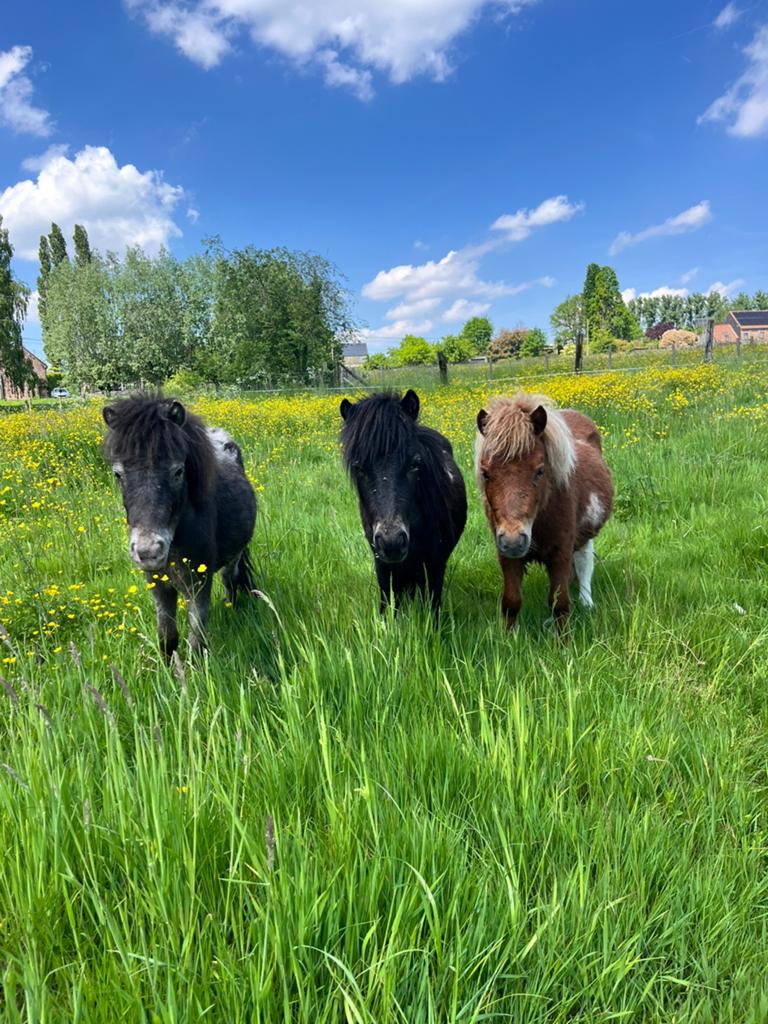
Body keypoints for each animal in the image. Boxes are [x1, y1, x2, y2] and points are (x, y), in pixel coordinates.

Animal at [103, 394, 257, 656]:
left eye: (178, 471)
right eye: (118, 474)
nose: (148, 551)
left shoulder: (199, 582)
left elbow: (196, 639)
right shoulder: (157, 583)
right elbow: (167, 636)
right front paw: (169, 667)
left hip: (232, 558)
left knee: (231, 579)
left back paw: (231, 609)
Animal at [340, 389, 467, 614]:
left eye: (414, 464)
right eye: (358, 468)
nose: (391, 541)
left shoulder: (435, 566)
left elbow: (432, 608)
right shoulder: (382, 564)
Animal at [475, 393, 613, 633]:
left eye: (540, 471)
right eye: (486, 473)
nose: (513, 541)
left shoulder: (560, 553)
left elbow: (560, 603)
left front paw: (563, 641)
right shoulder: (507, 556)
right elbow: (511, 601)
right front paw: (509, 637)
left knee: (585, 561)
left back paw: (586, 602)